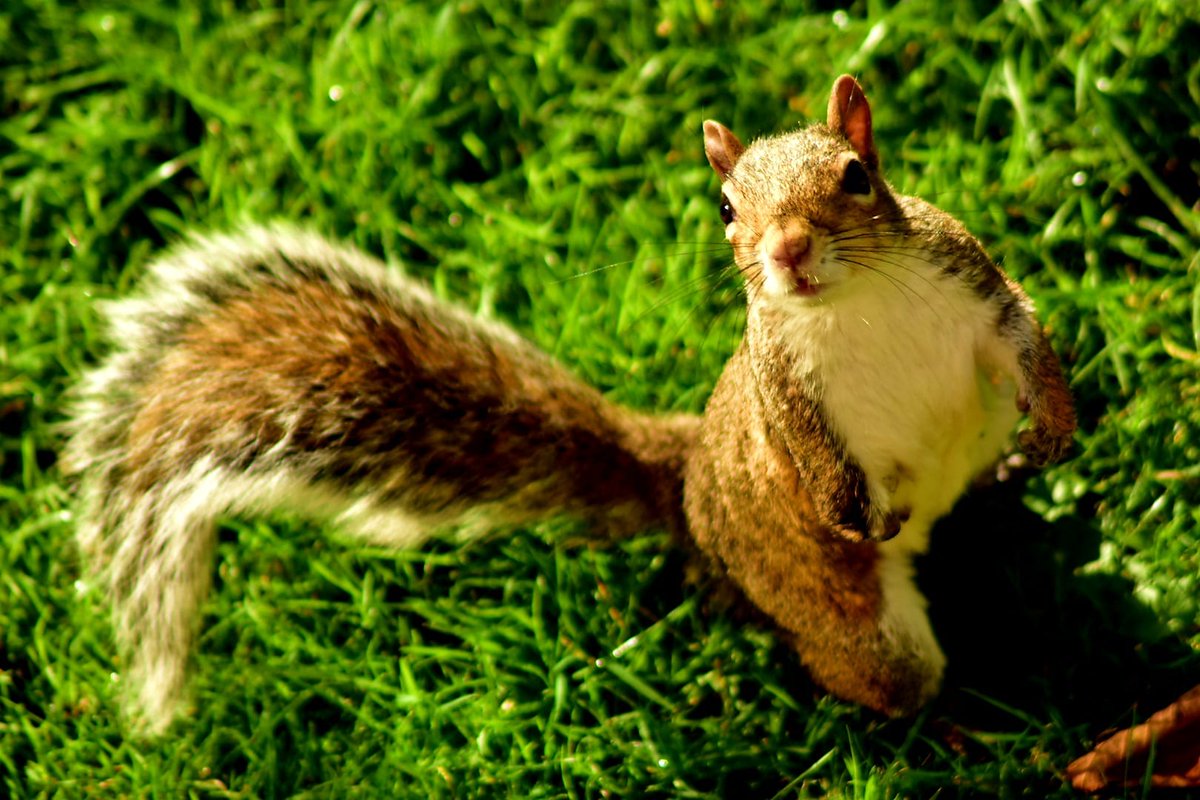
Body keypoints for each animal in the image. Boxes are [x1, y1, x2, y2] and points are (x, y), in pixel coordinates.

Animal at [63, 75, 1076, 734]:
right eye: (724, 209)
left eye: (857, 176)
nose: (786, 253)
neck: (854, 303)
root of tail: (687, 485)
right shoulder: (786, 397)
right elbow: (818, 463)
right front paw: (856, 512)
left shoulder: (973, 286)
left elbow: (1024, 336)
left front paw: (1055, 426)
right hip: (853, 626)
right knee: (881, 681)